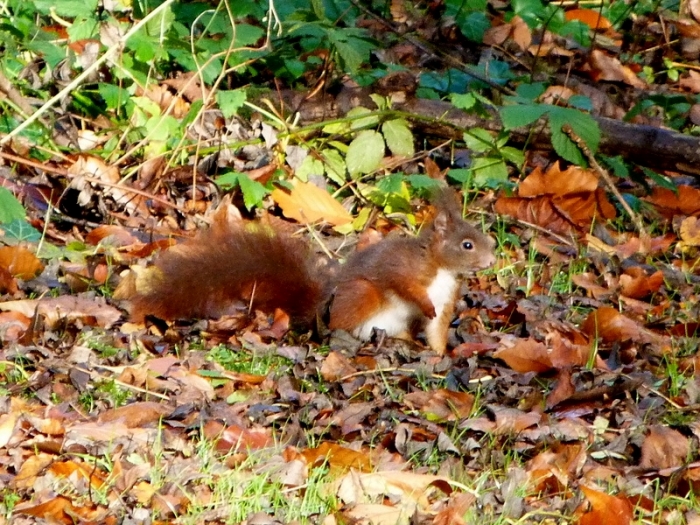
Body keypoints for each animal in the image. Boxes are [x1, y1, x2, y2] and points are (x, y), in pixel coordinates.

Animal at [119, 188, 496, 354]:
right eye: (467, 244)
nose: (492, 260)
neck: (440, 268)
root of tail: (317, 307)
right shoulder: (402, 269)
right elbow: (404, 285)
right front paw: (424, 305)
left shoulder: (447, 299)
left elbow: (437, 329)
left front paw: (440, 355)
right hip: (361, 296)